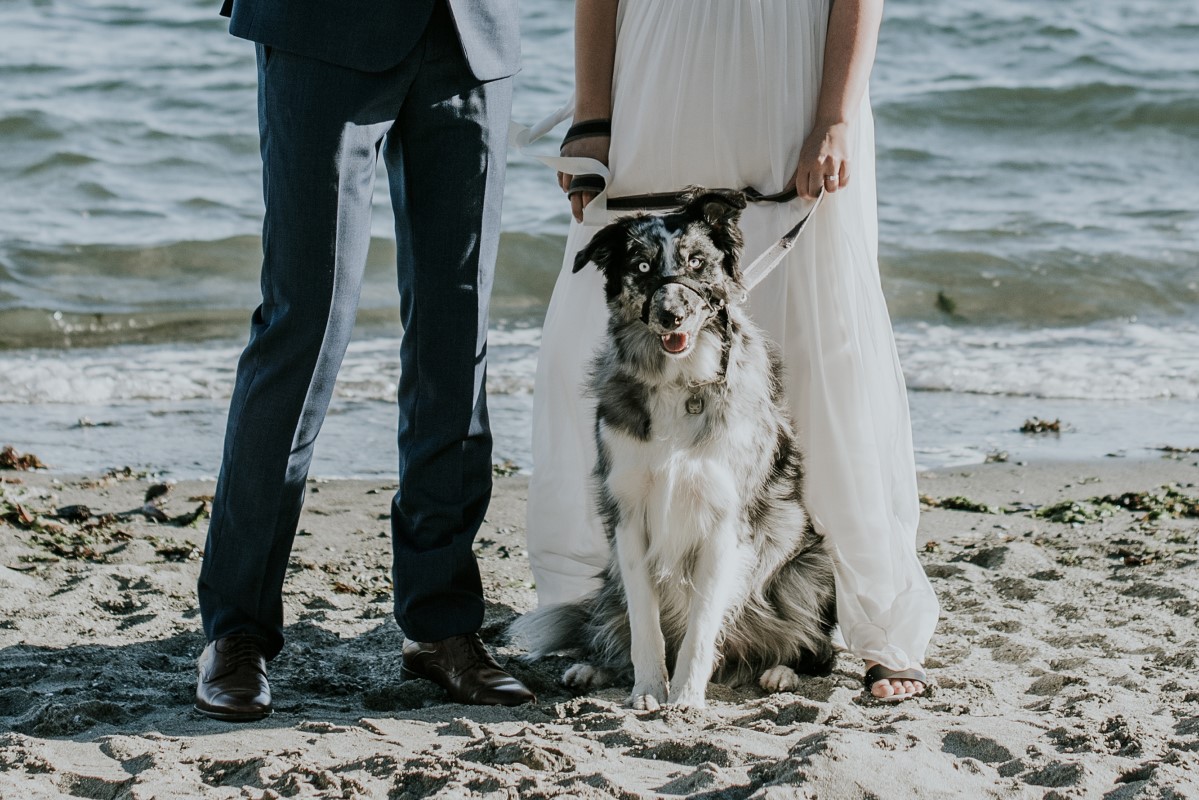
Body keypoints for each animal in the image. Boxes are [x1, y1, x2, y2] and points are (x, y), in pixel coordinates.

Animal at [510, 188, 839, 705]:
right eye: (642, 266)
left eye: (697, 262)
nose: (671, 315)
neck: (679, 384)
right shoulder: (628, 516)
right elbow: (645, 620)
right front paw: (648, 688)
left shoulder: (725, 520)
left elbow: (702, 623)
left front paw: (685, 696)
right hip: (608, 579)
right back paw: (593, 668)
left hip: (810, 568)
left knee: (809, 645)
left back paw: (780, 672)